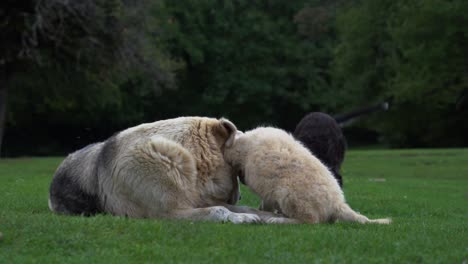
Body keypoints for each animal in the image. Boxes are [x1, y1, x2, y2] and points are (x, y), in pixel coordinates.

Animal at [225, 128, 394, 225]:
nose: (243, 179)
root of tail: (338, 204)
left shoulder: (264, 183)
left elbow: (265, 202)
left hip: (288, 194)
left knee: (309, 221)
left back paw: (278, 220)